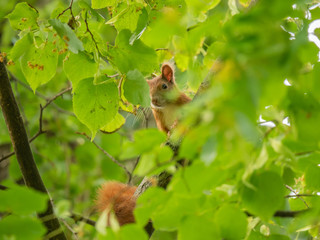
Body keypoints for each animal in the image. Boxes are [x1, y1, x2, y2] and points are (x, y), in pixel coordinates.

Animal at [96, 62, 191, 226]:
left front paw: (177, 123)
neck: (168, 106)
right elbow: (164, 132)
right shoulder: (159, 118)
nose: (153, 101)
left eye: (164, 86)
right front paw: (167, 135)